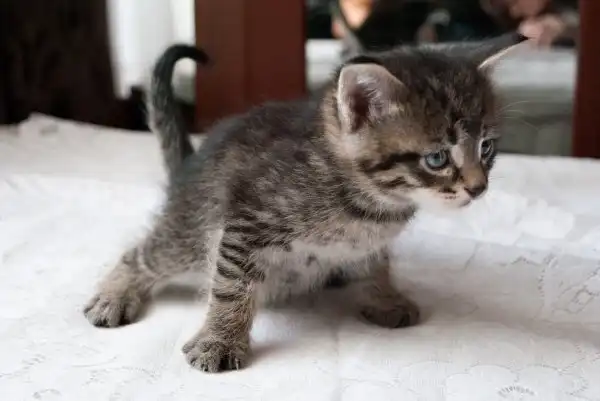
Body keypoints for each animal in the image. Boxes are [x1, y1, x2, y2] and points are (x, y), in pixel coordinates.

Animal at [84, 34, 529, 373]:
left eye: (486, 148)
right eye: (436, 158)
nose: (478, 187)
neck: (371, 205)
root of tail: (185, 172)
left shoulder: (369, 240)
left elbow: (376, 264)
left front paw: (384, 297)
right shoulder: (246, 219)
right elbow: (230, 286)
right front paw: (220, 340)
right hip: (191, 233)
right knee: (144, 253)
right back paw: (114, 294)